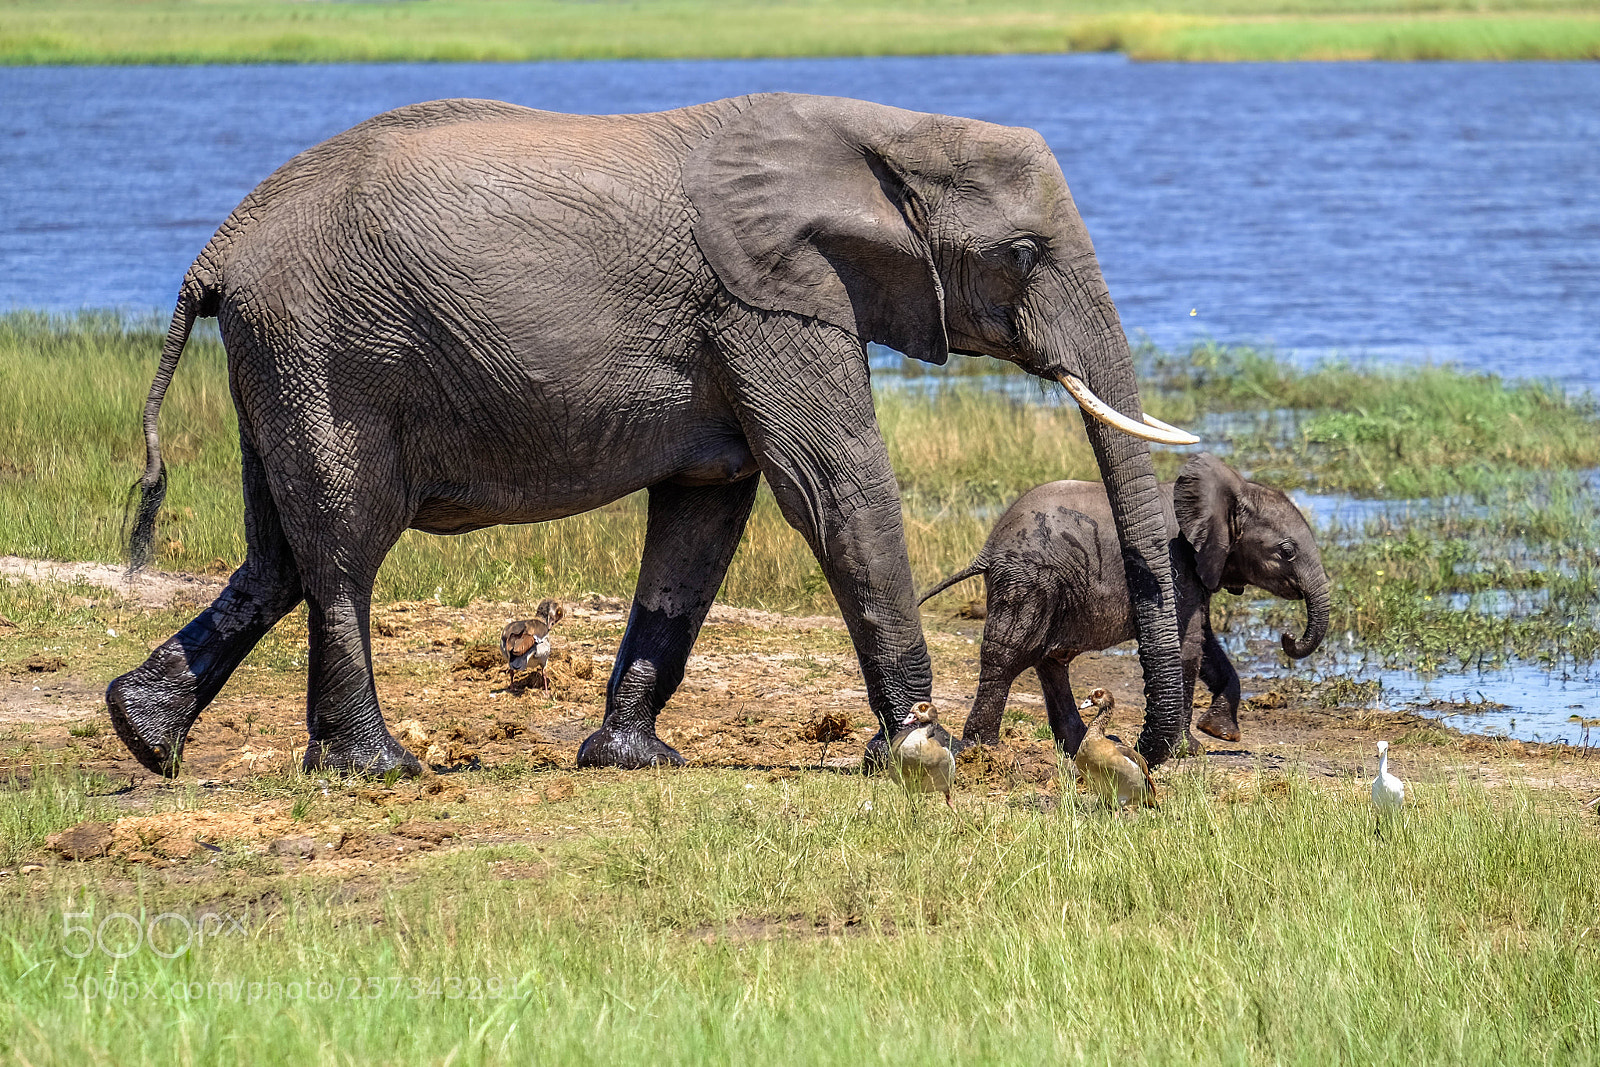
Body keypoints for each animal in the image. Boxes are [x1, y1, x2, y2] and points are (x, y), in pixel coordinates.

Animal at [105, 92, 1200, 779]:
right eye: (1021, 253)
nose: (1150, 752)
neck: (885, 129)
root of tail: (219, 250)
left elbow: (703, 518)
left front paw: (631, 759)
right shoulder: (769, 302)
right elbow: (833, 485)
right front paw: (922, 755)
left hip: (280, 364)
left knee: (275, 557)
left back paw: (144, 735)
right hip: (329, 355)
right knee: (339, 554)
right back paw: (375, 768)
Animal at [920, 453, 1329, 754]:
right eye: (1287, 551)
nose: (1287, 638)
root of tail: (988, 549)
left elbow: (1207, 645)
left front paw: (1219, 733)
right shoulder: (1173, 564)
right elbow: (1189, 648)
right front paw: (1191, 750)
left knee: (1048, 660)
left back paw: (1076, 743)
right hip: (1030, 579)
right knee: (1008, 655)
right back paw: (983, 746)